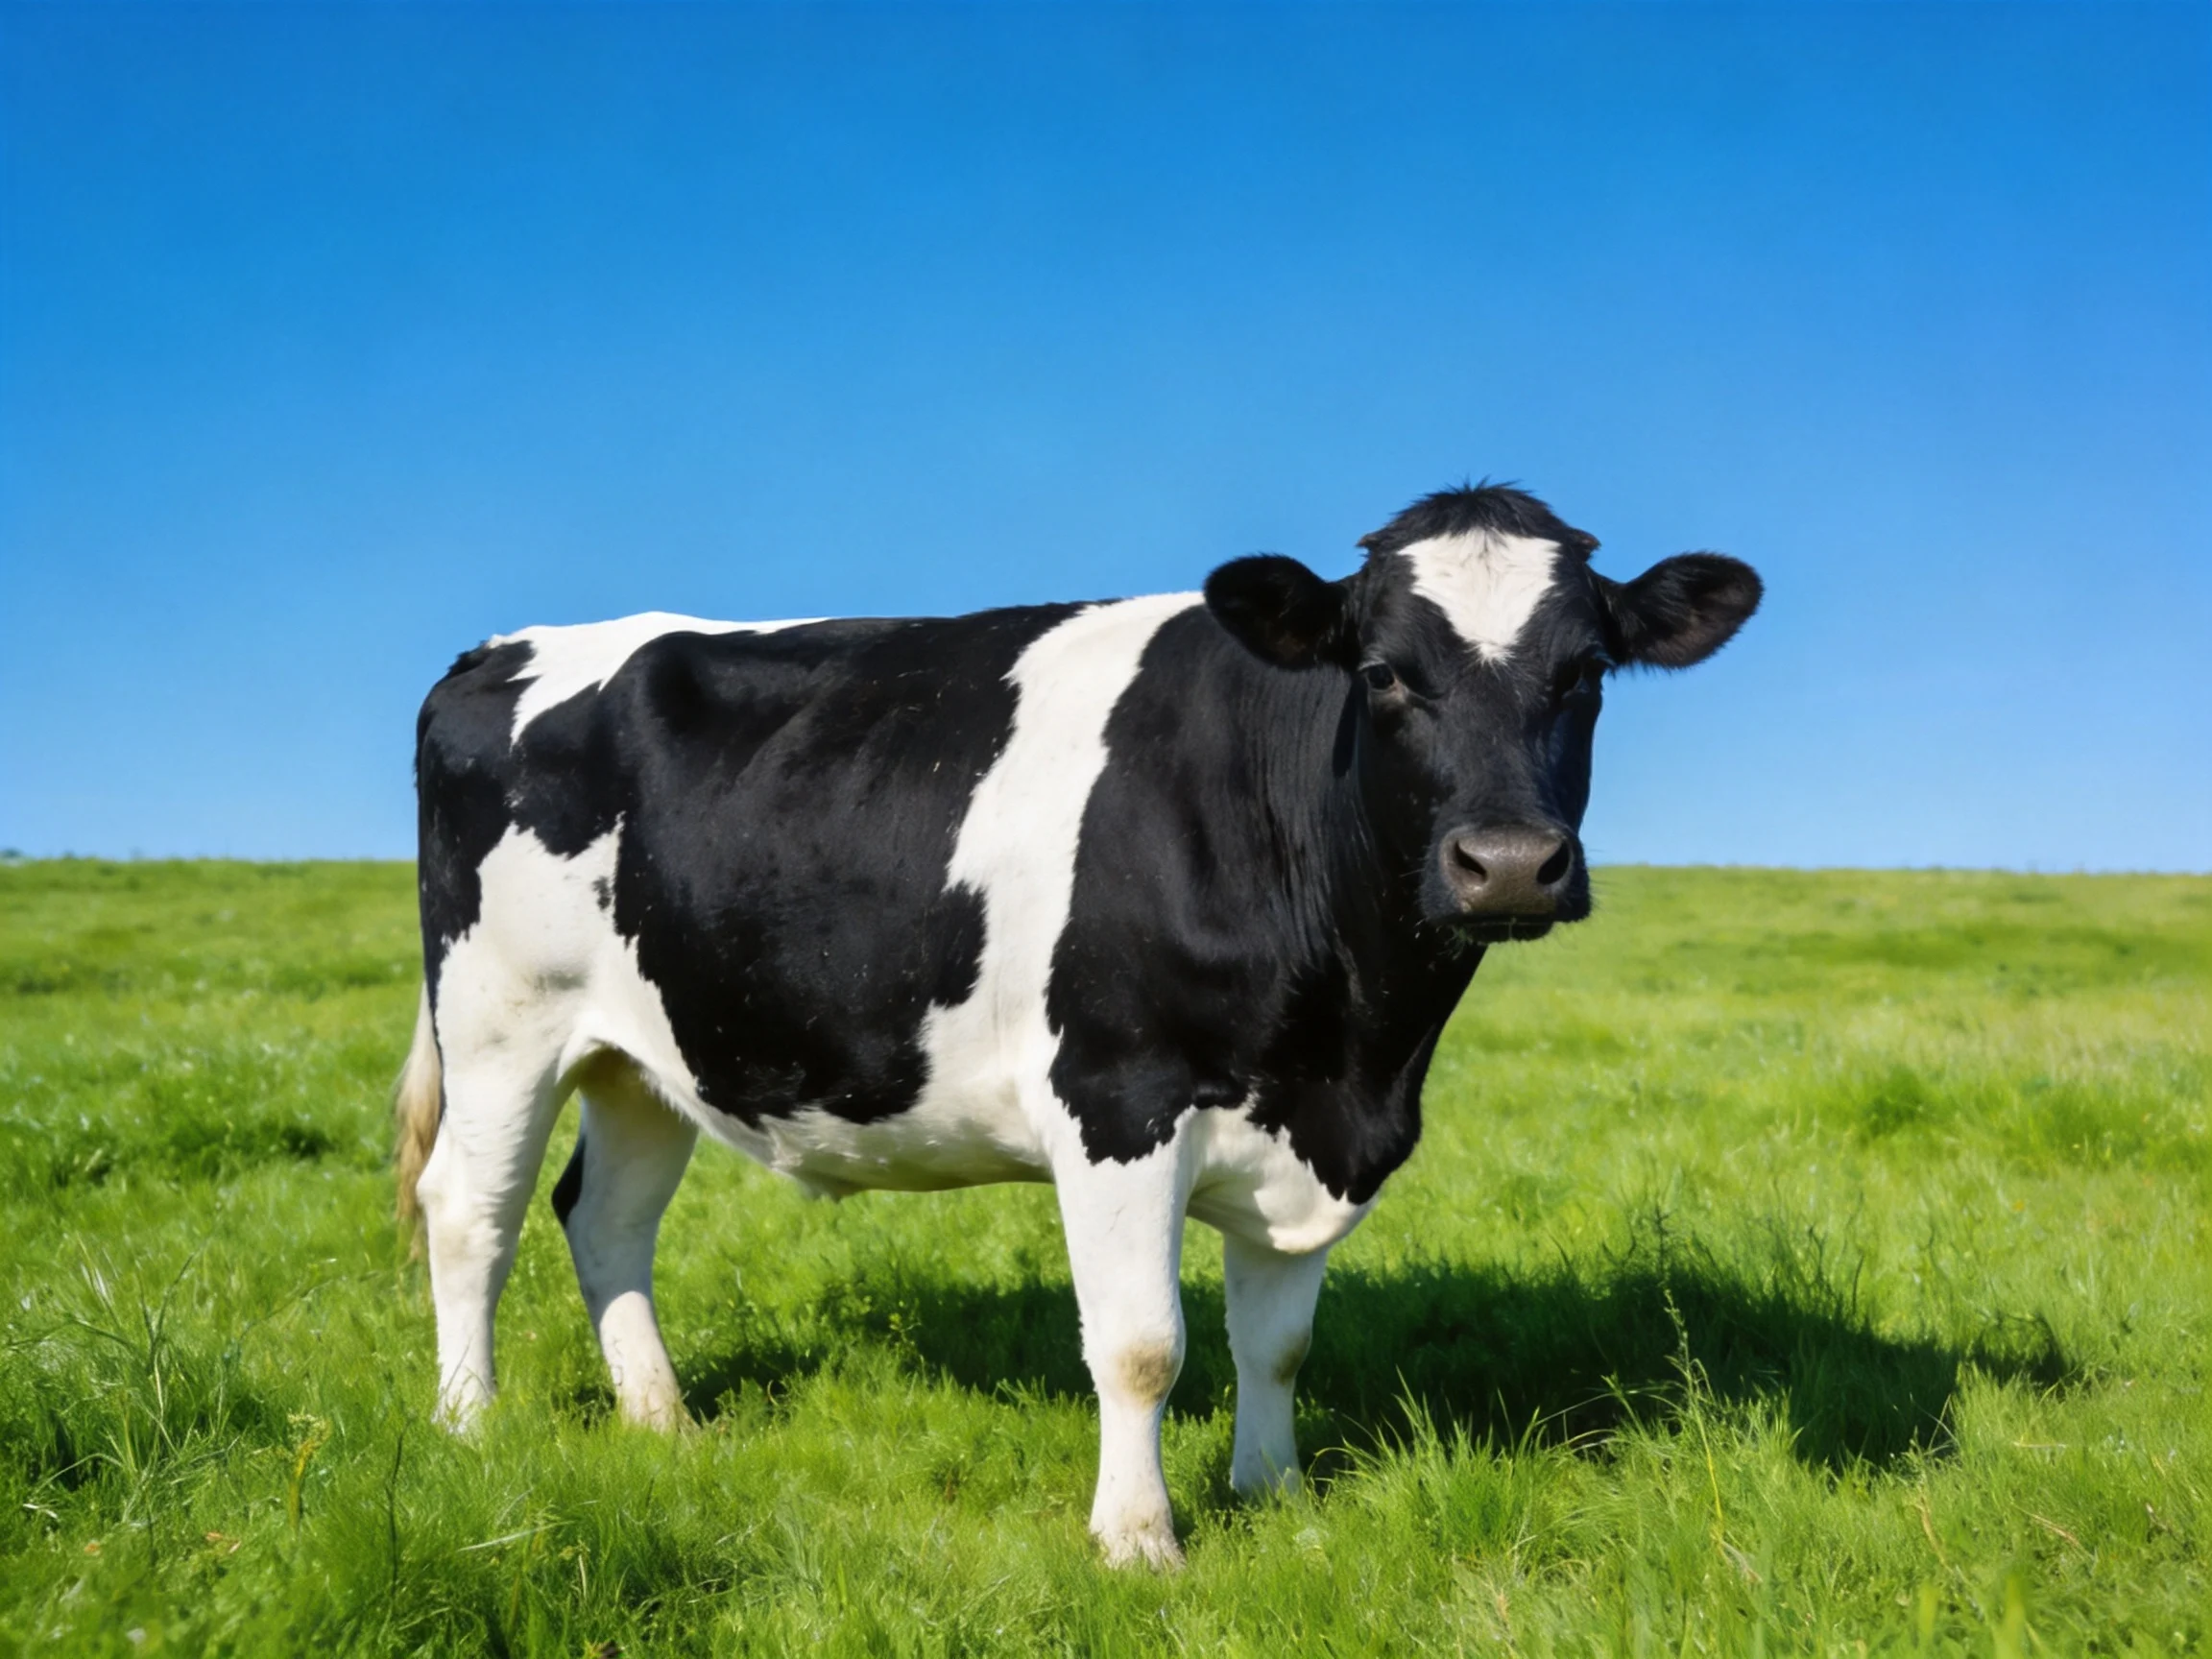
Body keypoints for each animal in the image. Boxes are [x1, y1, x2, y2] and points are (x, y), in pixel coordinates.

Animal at [394, 483, 1761, 1567]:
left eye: (1586, 673)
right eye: (1382, 672)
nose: (1510, 866)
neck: (1356, 1046)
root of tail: (502, 648)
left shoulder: (1308, 1126)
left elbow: (1278, 1345)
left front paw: (1278, 1499)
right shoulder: (1118, 1098)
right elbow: (1143, 1344)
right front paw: (1140, 1540)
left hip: (650, 1048)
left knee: (606, 1218)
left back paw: (661, 1422)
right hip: (502, 1020)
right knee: (468, 1211)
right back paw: (467, 1425)